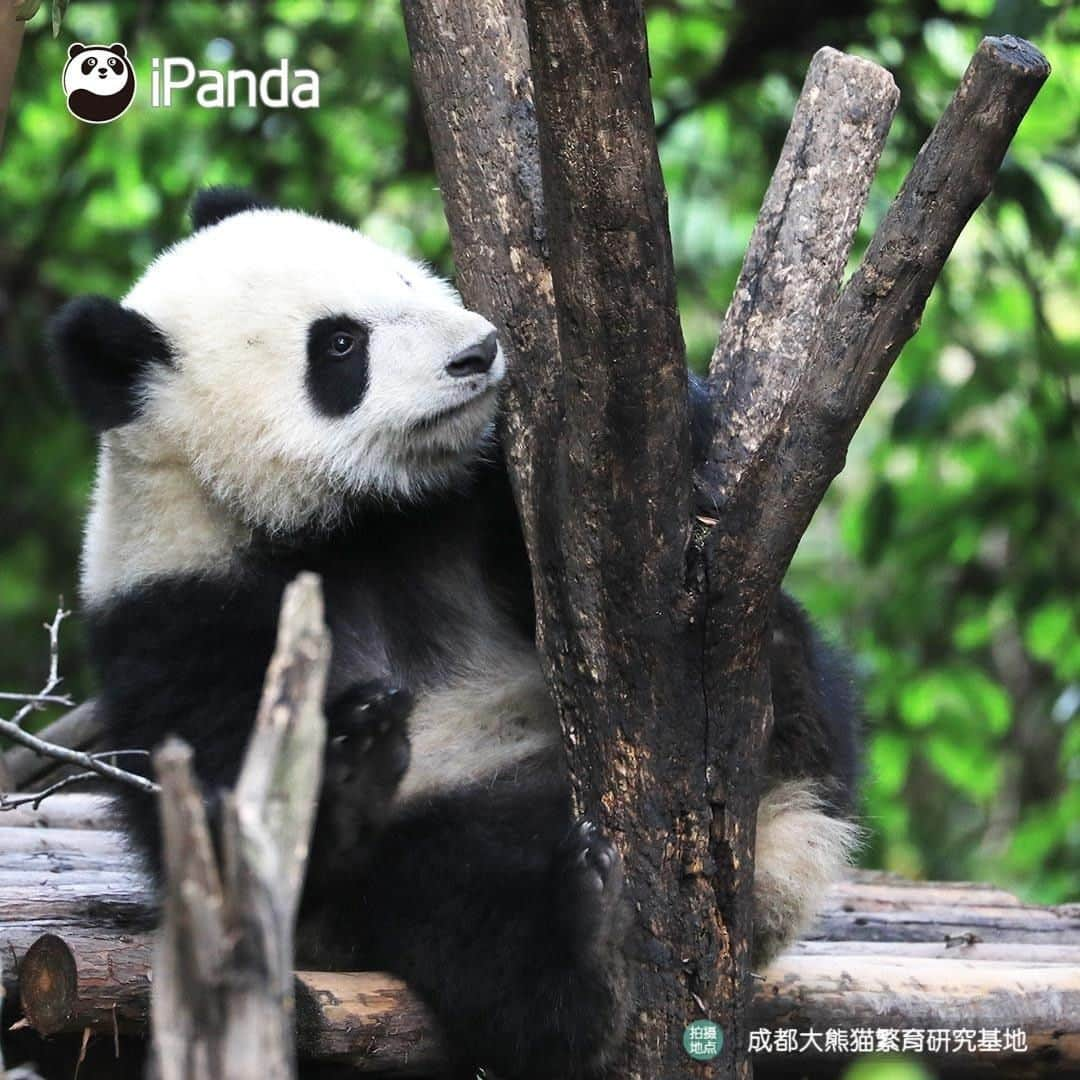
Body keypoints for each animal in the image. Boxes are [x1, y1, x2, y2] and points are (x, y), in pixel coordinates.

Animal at [50, 187, 859, 1080]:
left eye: (404, 275)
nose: (479, 352)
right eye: (340, 345)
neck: (344, 522)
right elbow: (239, 830)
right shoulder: (181, 618)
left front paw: (667, 414)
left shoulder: (471, 505)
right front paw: (349, 756)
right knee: (452, 904)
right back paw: (573, 941)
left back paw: (775, 677)